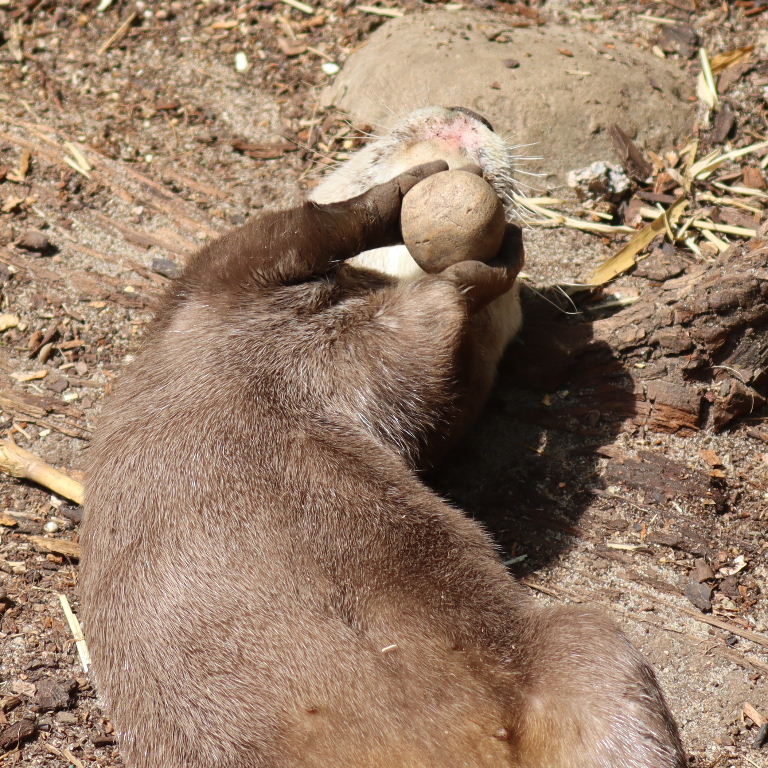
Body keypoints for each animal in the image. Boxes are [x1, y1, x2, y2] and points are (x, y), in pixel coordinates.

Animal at [79, 107, 685, 768]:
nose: (471, 113)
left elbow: (423, 355)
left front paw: (478, 269)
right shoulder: (222, 279)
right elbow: (310, 226)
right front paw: (405, 206)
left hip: (582, 649)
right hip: (585, 645)